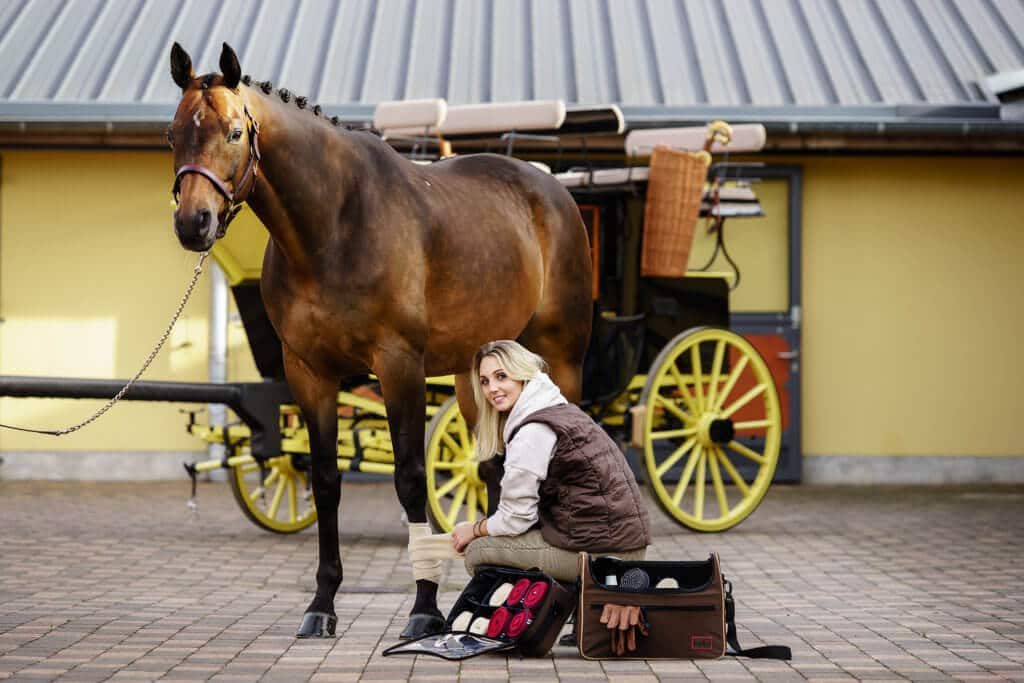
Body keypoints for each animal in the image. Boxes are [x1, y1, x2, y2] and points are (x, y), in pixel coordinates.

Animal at [167, 42, 593, 638]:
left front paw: (424, 609)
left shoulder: (399, 366)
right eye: (172, 134)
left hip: (562, 357)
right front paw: (322, 605)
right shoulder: (308, 371)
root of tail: (552, 190)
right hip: (477, 374)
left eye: (233, 131)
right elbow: (324, 479)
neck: (333, 225)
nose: (194, 224)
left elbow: (410, 478)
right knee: (493, 465)